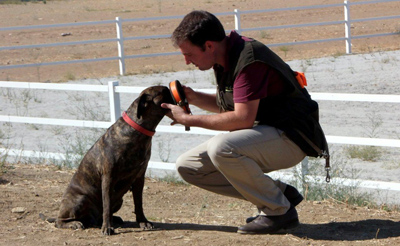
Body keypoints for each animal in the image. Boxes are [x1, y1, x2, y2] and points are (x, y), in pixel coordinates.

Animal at [47, 86, 172, 234]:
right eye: (164, 91)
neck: (137, 130)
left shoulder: (139, 178)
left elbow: (138, 203)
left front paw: (143, 221)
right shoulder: (108, 178)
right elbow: (106, 204)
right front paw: (107, 227)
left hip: (118, 201)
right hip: (80, 200)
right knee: (59, 221)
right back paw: (75, 223)